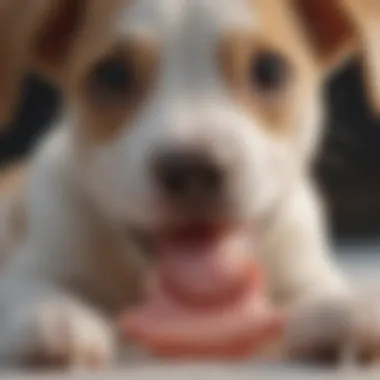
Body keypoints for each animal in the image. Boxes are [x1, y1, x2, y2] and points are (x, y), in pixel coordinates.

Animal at [0, 0, 378, 370]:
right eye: (112, 75)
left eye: (269, 70)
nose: (191, 170)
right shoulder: (45, 245)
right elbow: (27, 287)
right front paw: (55, 317)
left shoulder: (300, 258)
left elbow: (315, 288)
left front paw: (342, 306)